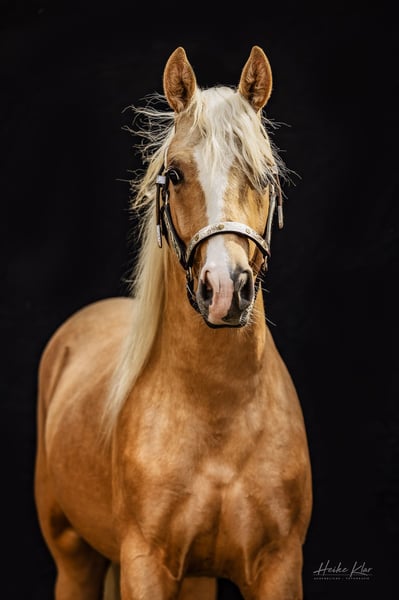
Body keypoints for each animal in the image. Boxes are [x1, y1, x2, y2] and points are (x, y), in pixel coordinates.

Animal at [34, 44, 312, 596]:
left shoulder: (279, 565)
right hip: (73, 557)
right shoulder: (147, 564)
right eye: (176, 174)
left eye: (266, 174)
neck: (219, 415)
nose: (225, 290)